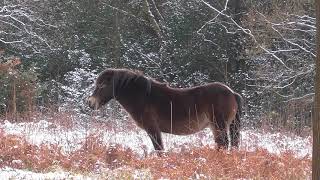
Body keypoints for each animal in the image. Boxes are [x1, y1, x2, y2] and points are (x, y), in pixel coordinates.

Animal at [87, 69, 242, 150]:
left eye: (102, 86)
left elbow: (159, 150)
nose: (90, 103)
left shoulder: (153, 129)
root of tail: (232, 92)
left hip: (219, 126)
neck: (144, 96)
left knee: (223, 144)